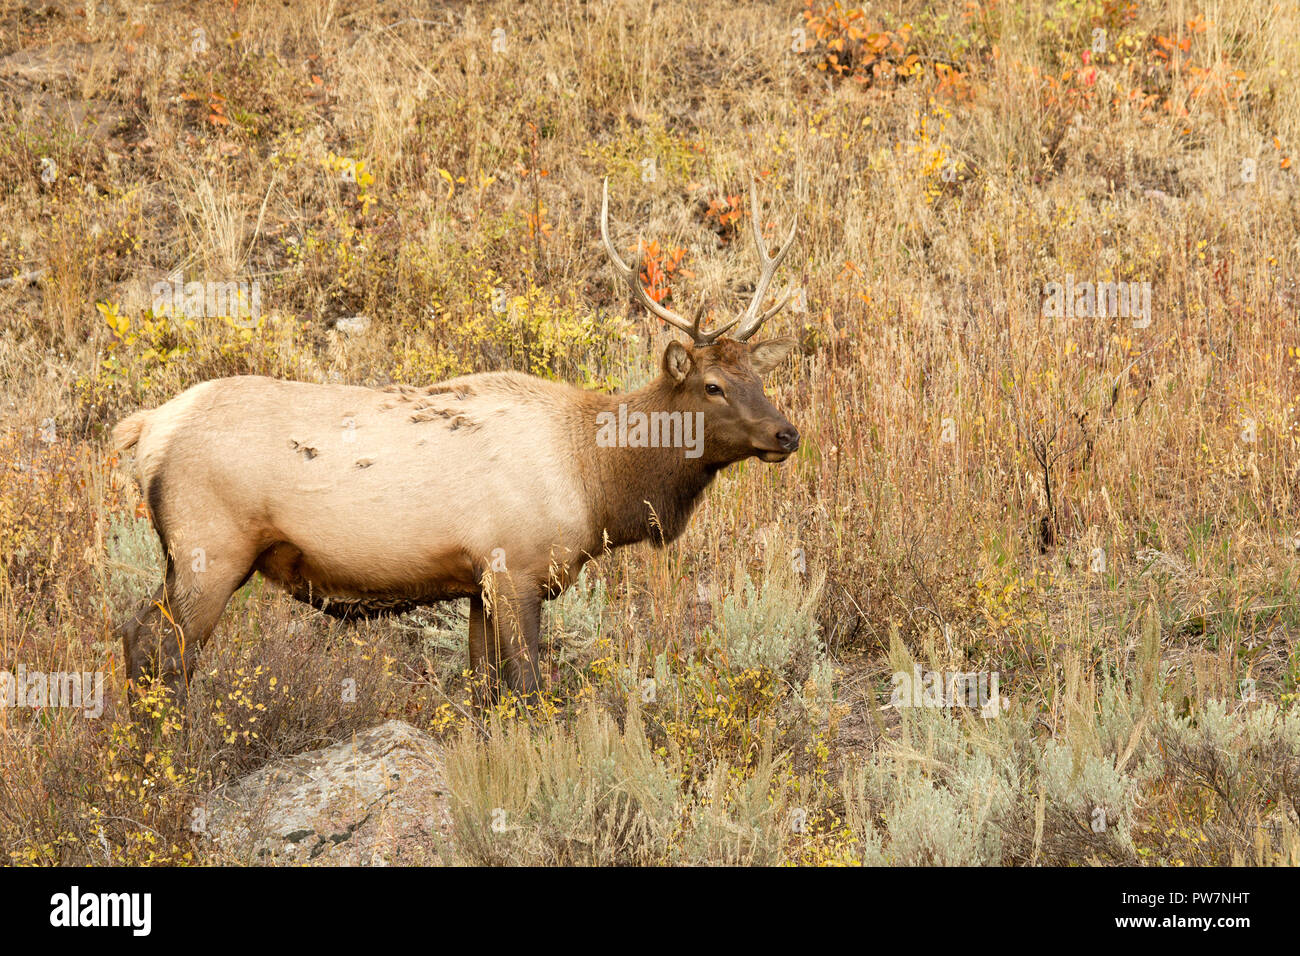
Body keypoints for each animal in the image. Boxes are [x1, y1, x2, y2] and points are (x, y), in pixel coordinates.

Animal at [112, 179, 801, 710]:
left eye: (759, 377)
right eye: (712, 385)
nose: (787, 433)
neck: (598, 481)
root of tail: (146, 429)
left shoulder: (475, 583)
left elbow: (483, 690)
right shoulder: (514, 565)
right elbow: (527, 690)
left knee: (139, 638)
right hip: (210, 548)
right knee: (157, 650)